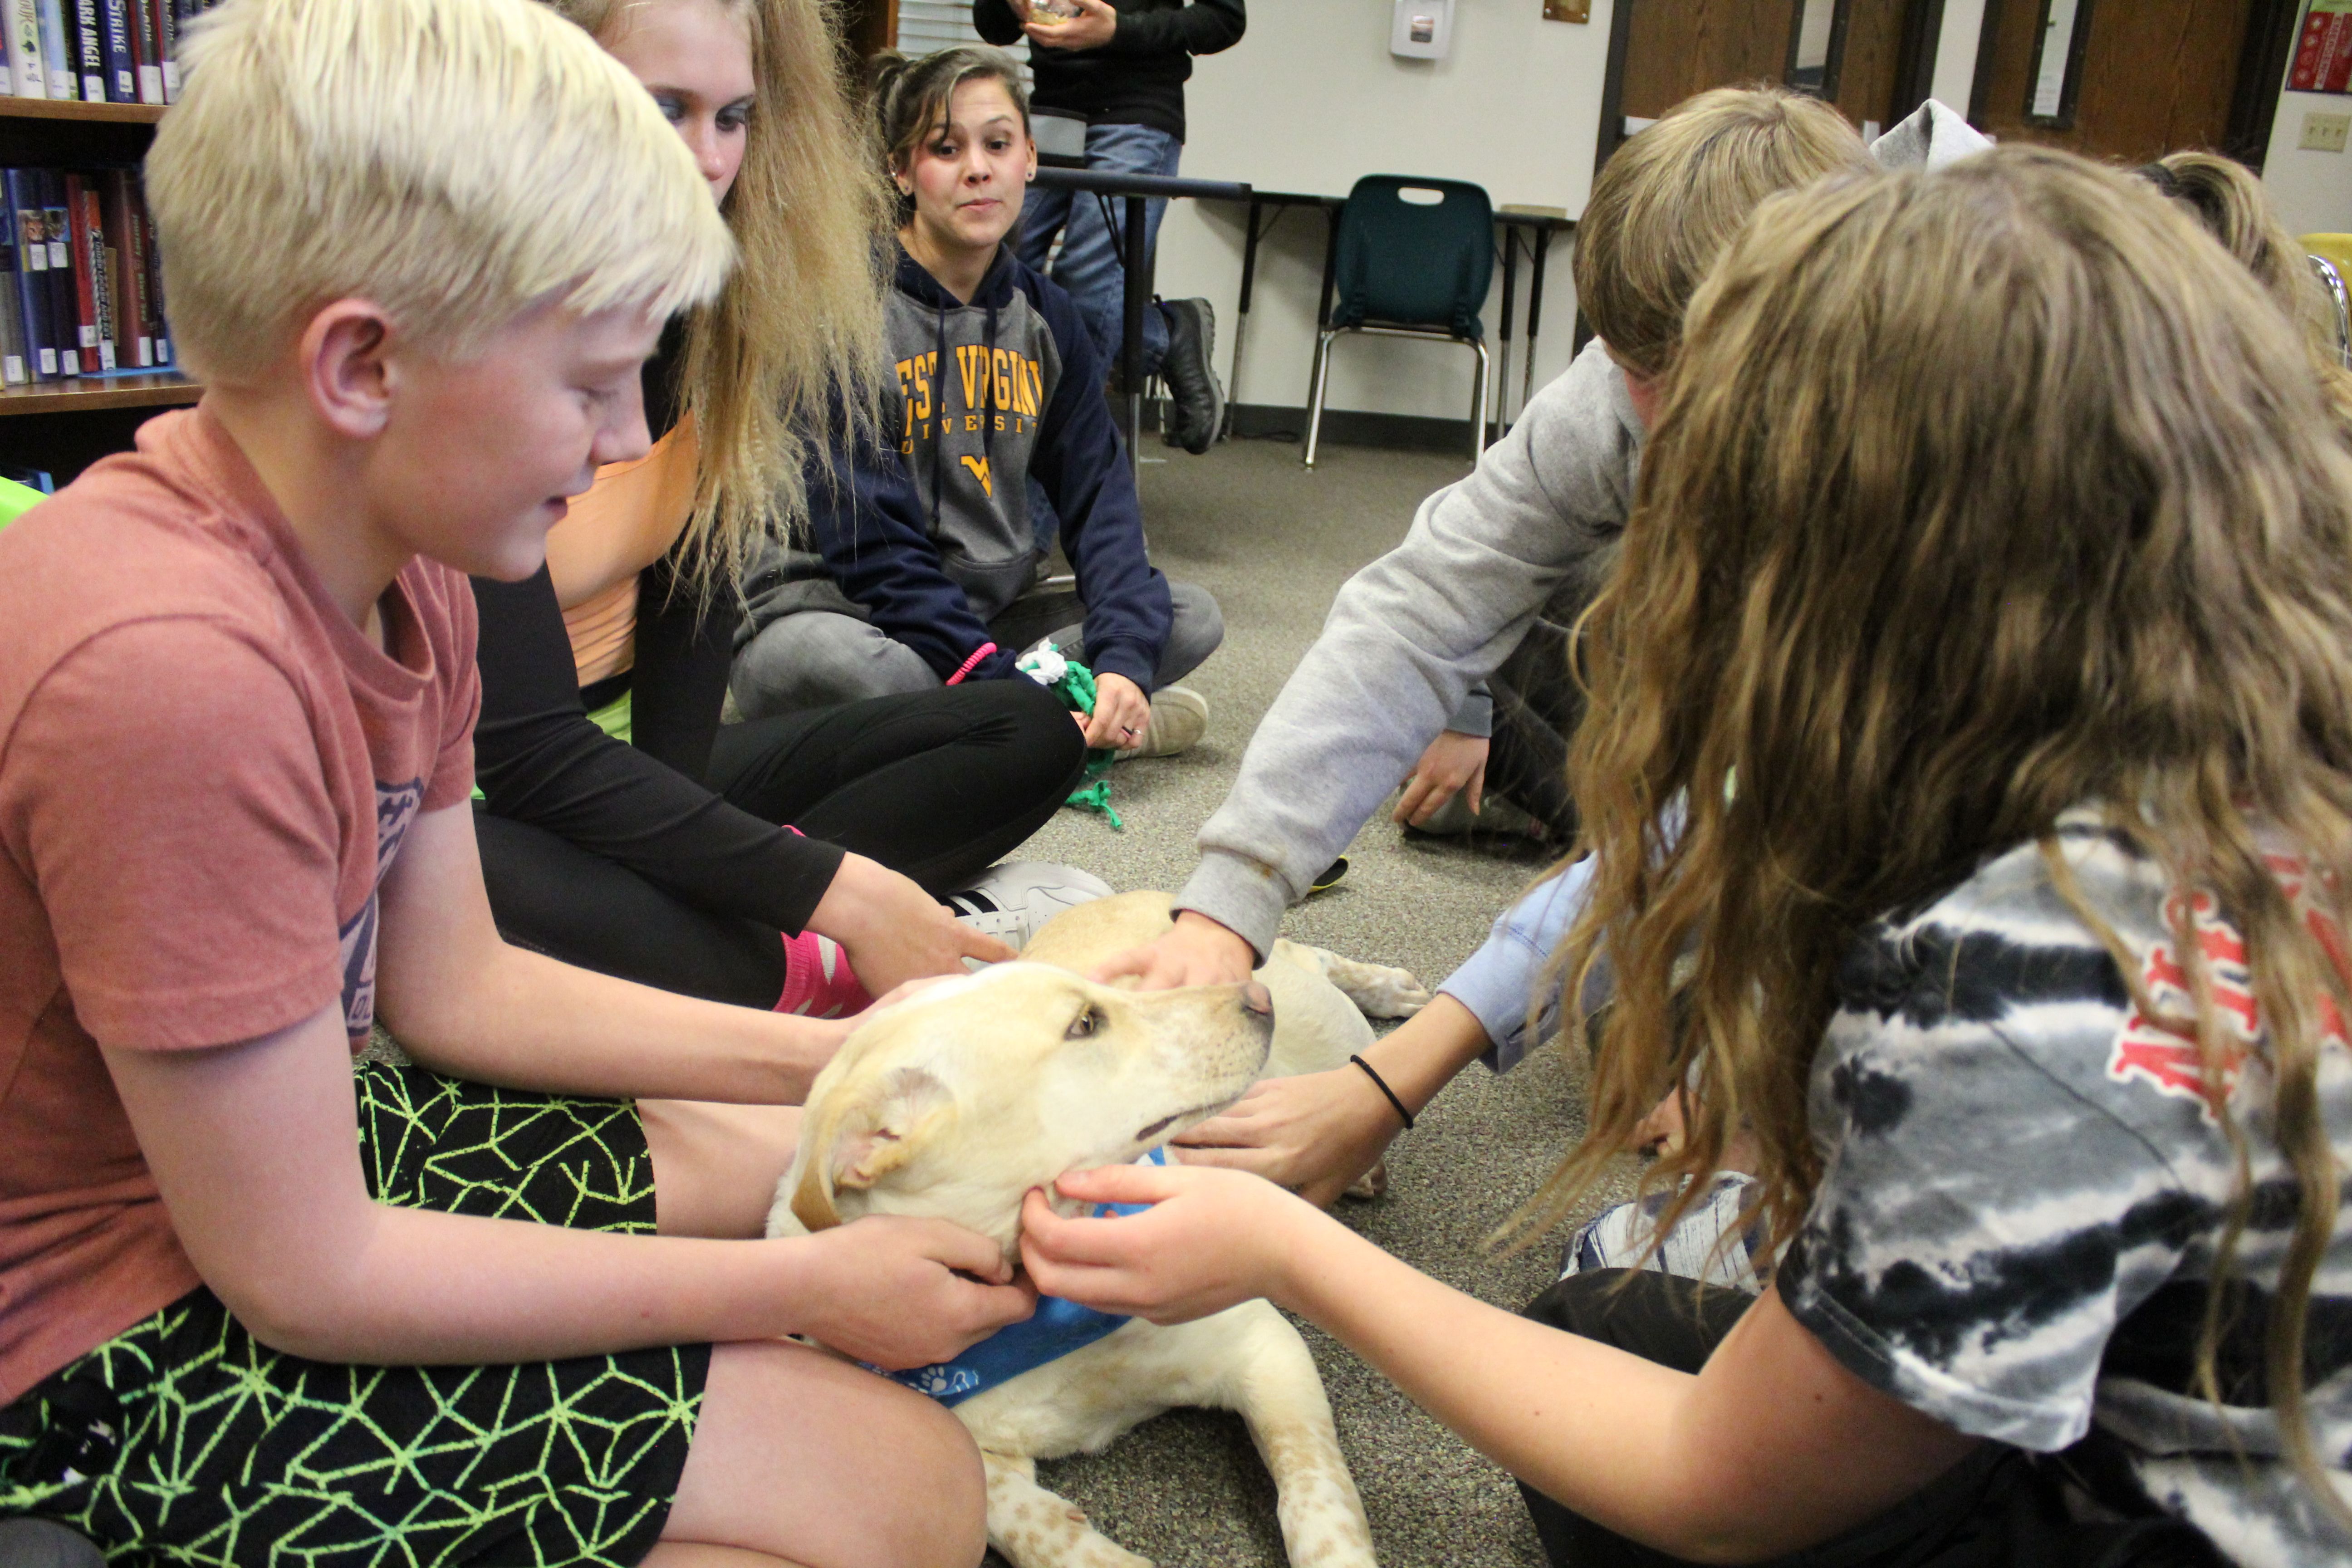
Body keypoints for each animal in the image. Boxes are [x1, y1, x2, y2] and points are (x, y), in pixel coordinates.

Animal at [766, 893, 1411, 1568]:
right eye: (1085, 1024)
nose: (1256, 1001)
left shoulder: (1264, 1348)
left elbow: (1318, 1505)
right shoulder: (960, 1434)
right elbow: (1014, 1512)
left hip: (1326, 1032)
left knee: (1309, 959)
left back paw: (1390, 991)